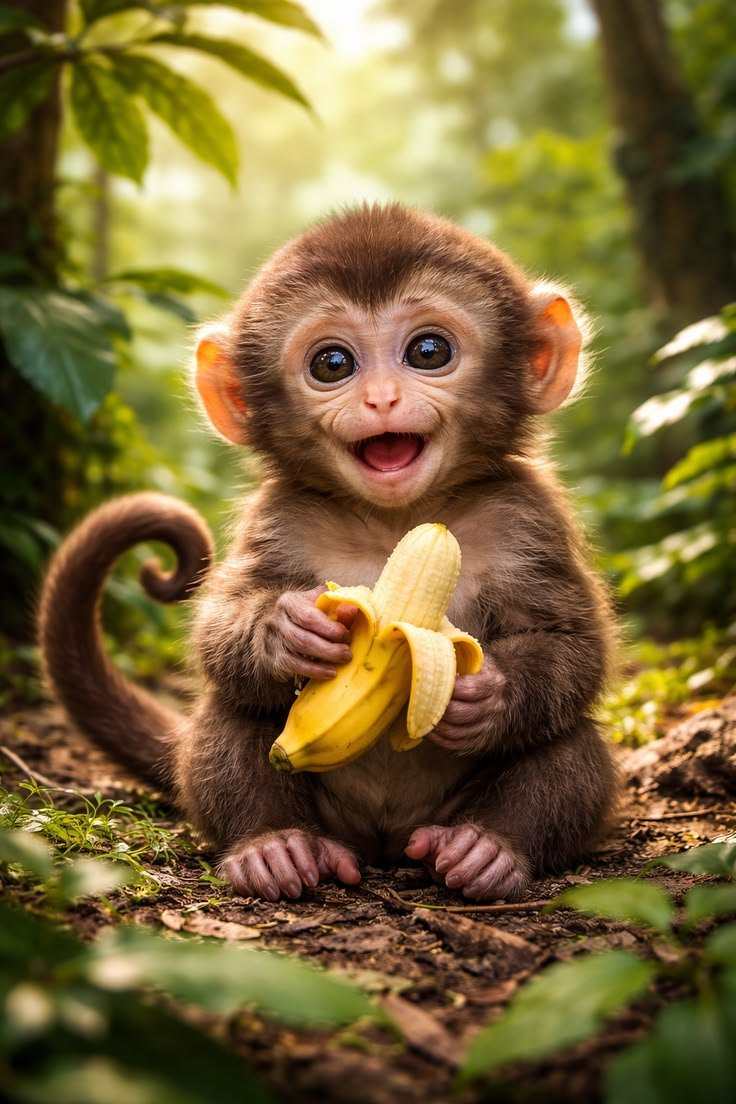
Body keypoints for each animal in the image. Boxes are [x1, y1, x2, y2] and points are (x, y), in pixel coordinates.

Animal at [39, 203, 618, 903]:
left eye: (429, 351)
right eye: (333, 364)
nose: (382, 399)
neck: (395, 523)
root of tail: (385, 843)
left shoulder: (528, 517)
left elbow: (574, 647)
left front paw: (488, 694)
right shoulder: (279, 516)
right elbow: (218, 634)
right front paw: (285, 632)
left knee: (569, 742)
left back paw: (489, 848)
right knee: (234, 709)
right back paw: (272, 845)